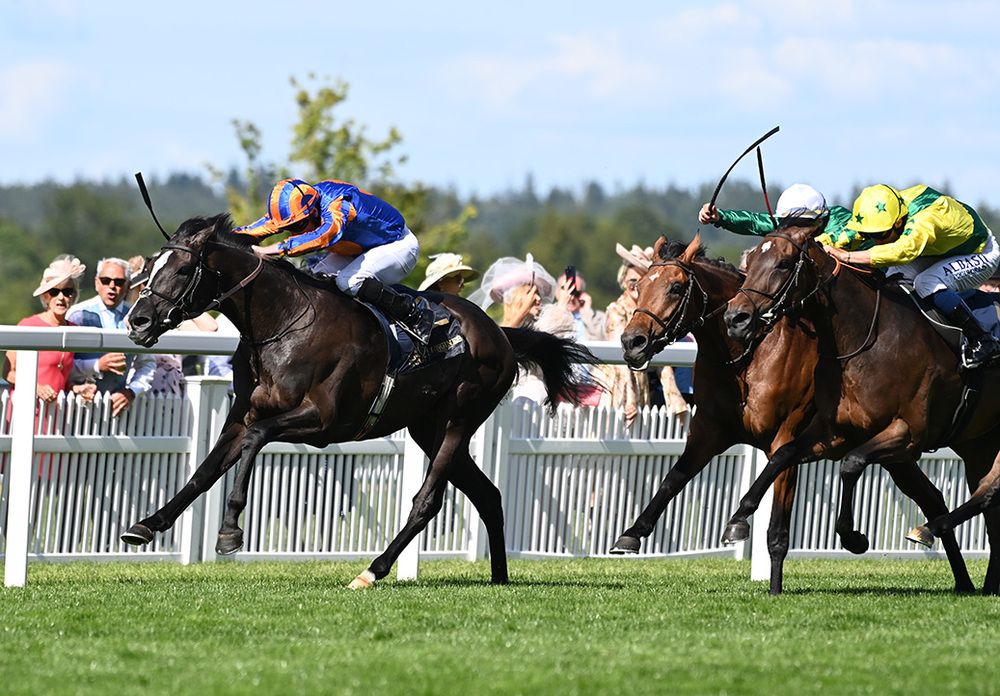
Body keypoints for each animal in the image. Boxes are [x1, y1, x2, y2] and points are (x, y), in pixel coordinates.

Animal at [122, 213, 596, 588]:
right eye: (150, 266)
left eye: (183, 268)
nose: (137, 321)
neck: (283, 322)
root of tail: (500, 333)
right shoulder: (245, 413)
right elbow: (205, 470)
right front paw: (146, 525)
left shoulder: (324, 420)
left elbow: (256, 439)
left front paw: (229, 530)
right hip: (427, 428)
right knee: (489, 495)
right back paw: (499, 577)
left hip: (460, 418)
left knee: (428, 501)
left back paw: (373, 570)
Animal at [612, 234, 972, 592]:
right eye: (639, 285)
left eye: (676, 287)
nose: (632, 341)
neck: (749, 357)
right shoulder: (709, 431)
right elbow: (673, 479)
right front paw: (631, 534)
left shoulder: (785, 439)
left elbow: (776, 530)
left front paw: (771, 584)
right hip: (898, 452)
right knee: (933, 498)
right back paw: (962, 579)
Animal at [728, 223, 1000, 592]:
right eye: (752, 258)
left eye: (784, 264)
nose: (735, 318)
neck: (865, 340)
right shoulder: (833, 432)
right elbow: (782, 456)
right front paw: (739, 518)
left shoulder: (907, 435)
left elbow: (851, 465)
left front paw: (853, 537)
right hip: (979, 442)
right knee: (989, 499)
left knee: (987, 492)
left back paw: (928, 530)